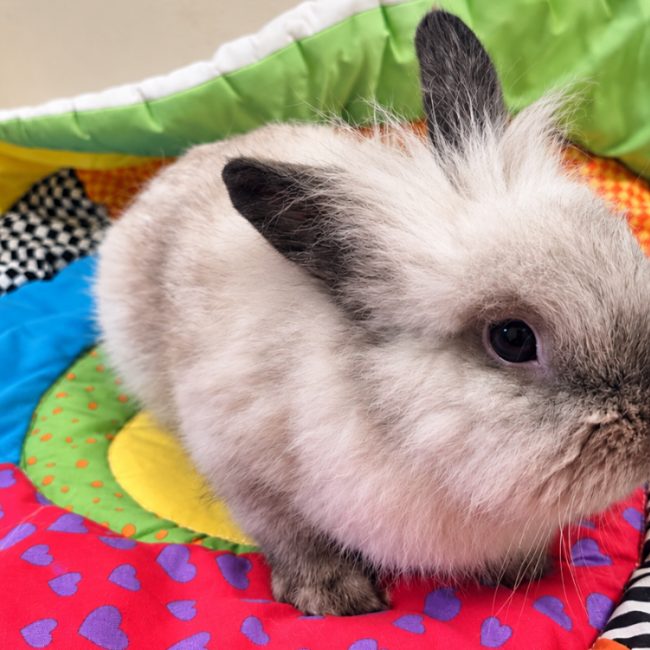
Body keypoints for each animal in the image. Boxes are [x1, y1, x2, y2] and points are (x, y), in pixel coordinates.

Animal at [96, 10, 650, 616]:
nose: (646, 434)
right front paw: (335, 597)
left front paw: (520, 570)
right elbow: (290, 536)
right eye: (512, 338)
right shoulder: (241, 464)